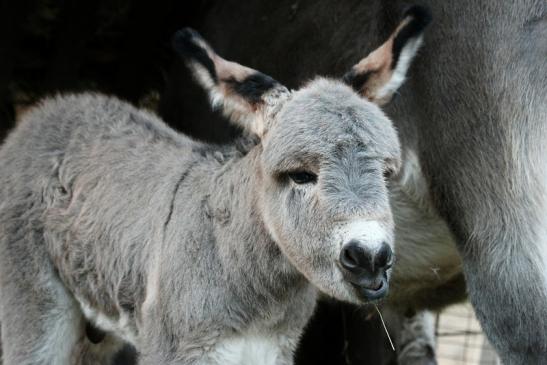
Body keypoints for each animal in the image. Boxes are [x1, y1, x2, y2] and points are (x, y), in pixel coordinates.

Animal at [0, 10, 428, 362]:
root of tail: (50, 110)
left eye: (386, 175)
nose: (370, 260)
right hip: (37, 309)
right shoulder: (177, 349)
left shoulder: (270, 352)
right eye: (300, 175)